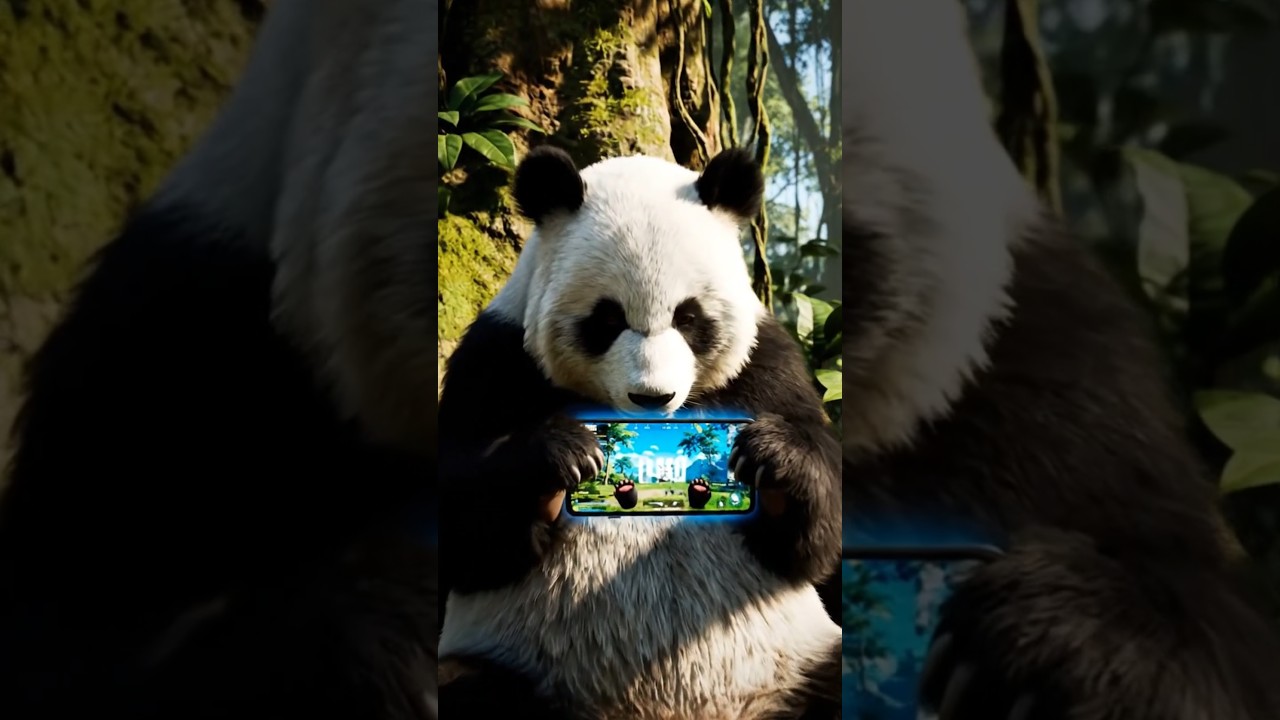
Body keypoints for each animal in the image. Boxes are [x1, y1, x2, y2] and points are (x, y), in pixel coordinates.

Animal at [436, 146, 843, 719]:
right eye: (607, 319)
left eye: (689, 318)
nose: (653, 398)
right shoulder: (497, 361)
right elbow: (464, 536)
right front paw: (561, 458)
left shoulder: (765, 365)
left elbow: (815, 543)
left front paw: (772, 458)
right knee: (464, 686)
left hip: (798, 664)